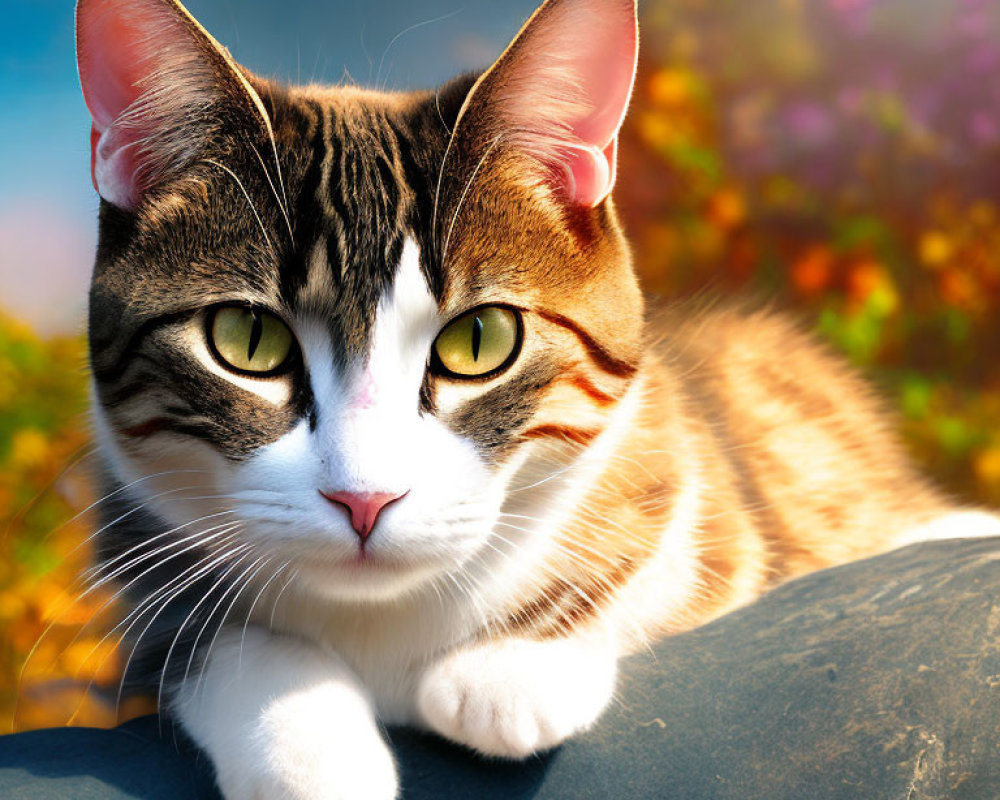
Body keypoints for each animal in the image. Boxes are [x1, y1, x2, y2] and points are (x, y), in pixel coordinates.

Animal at [72, 0, 1000, 792]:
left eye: (480, 341)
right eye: (246, 340)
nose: (365, 500)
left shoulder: (689, 464)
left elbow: (668, 534)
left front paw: (514, 666)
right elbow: (198, 636)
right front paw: (305, 739)